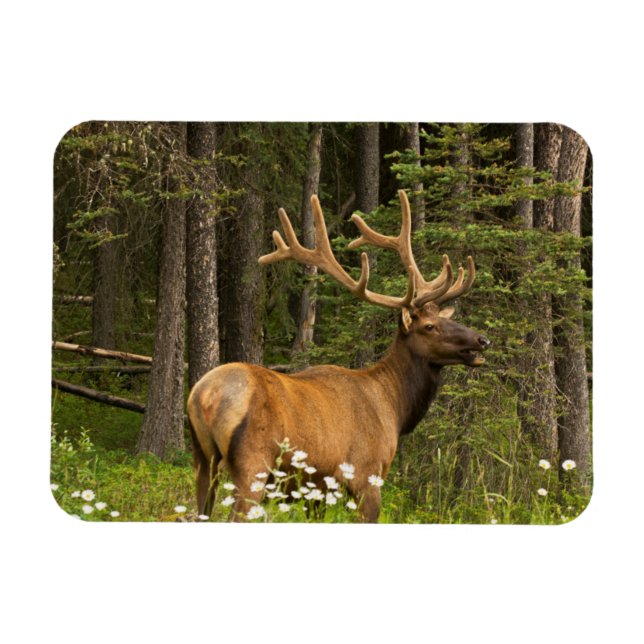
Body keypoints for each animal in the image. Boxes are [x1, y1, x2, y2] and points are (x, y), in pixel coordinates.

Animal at [187, 190, 490, 522]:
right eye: (430, 326)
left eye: (444, 319)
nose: (482, 340)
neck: (394, 407)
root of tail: (205, 396)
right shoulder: (366, 475)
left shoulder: (317, 491)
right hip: (253, 464)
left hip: (203, 461)